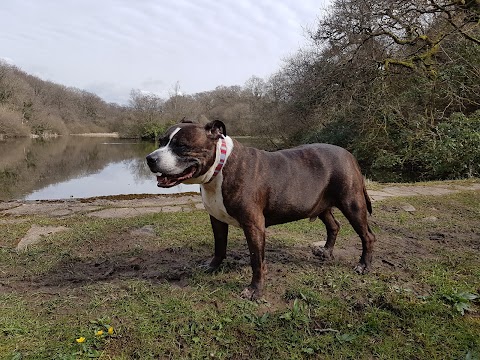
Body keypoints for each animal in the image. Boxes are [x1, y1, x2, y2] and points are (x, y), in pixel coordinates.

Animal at [146, 119, 376, 300]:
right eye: (161, 142)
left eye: (182, 146)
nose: (150, 158)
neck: (220, 168)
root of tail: (348, 154)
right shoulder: (216, 219)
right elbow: (219, 246)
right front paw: (212, 267)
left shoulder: (254, 225)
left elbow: (256, 259)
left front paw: (254, 290)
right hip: (321, 206)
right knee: (334, 225)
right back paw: (326, 251)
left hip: (352, 204)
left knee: (367, 236)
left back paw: (364, 265)